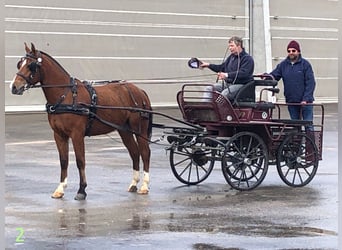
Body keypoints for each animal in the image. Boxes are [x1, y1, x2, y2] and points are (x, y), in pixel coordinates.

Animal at [10, 42, 152, 199]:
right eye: (19, 64)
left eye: (31, 65)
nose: (14, 87)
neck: (66, 96)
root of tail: (139, 91)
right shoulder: (59, 135)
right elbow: (64, 161)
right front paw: (60, 188)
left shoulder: (77, 134)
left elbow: (80, 160)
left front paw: (81, 190)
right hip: (124, 131)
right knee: (134, 152)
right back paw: (133, 183)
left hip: (140, 130)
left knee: (145, 152)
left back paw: (144, 186)